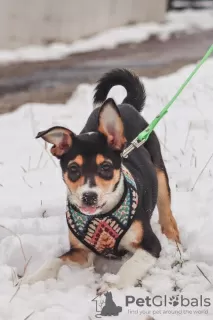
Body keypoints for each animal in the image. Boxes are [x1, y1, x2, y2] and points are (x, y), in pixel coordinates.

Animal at [21, 69, 179, 292]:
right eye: (73, 169)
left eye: (105, 167)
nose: (89, 197)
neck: (102, 217)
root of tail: (125, 105)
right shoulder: (80, 251)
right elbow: (54, 260)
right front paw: (29, 280)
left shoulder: (150, 245)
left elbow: (131, 265)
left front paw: (112, 287)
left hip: (159, 170)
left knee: (166, 211)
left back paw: (174, 239)